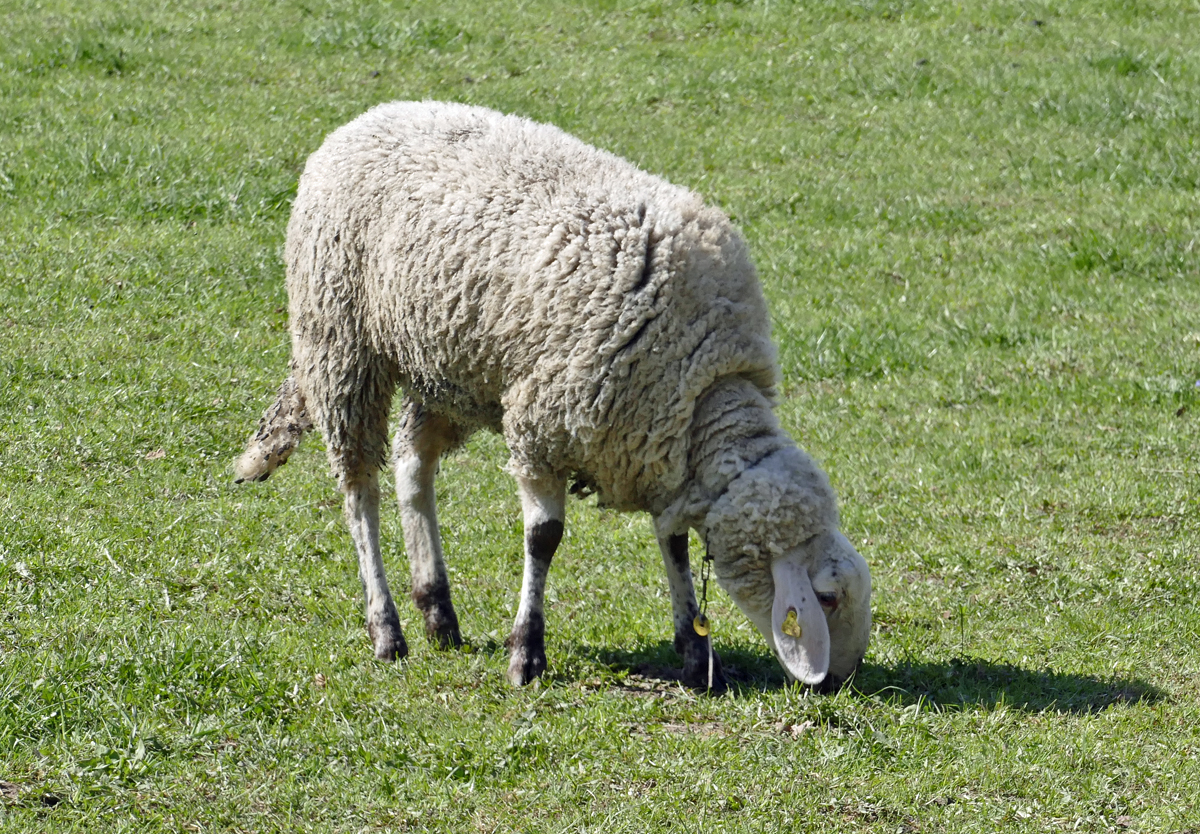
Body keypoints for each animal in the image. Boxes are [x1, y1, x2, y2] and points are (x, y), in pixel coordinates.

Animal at [234, 101, 873, 691]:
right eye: (828, 598)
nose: (841, 679)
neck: (701, 389)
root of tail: (365, 119)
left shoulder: (653, 447)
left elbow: (675, 546)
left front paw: (694, 652)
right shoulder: (543, 427)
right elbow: (544, 539)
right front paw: (527, 653)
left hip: (444, 365)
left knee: (412, 467)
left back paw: (438, 611)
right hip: (341, 342)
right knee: (358, 489)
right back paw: (387, 629)